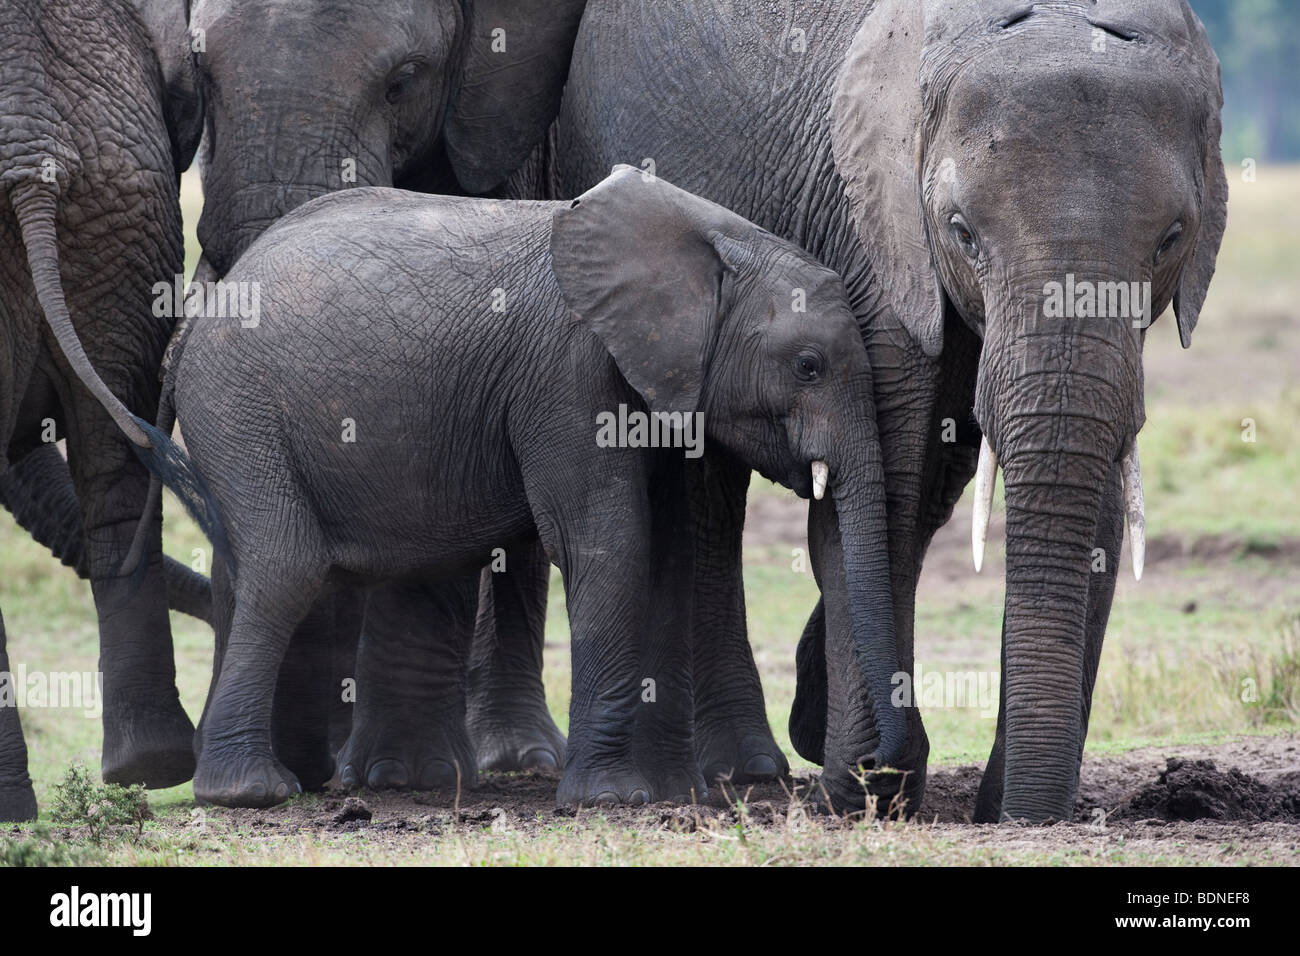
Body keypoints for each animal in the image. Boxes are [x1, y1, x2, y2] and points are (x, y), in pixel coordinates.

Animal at [551, 0, 1227, 822]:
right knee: (718, 487)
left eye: (1171, 239)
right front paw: (865, 791)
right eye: (961, 231)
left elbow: (1090, 495)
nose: (1026, 813)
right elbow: (885, 494)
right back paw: (754, 769)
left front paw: (997, 801)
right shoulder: (878, 244)